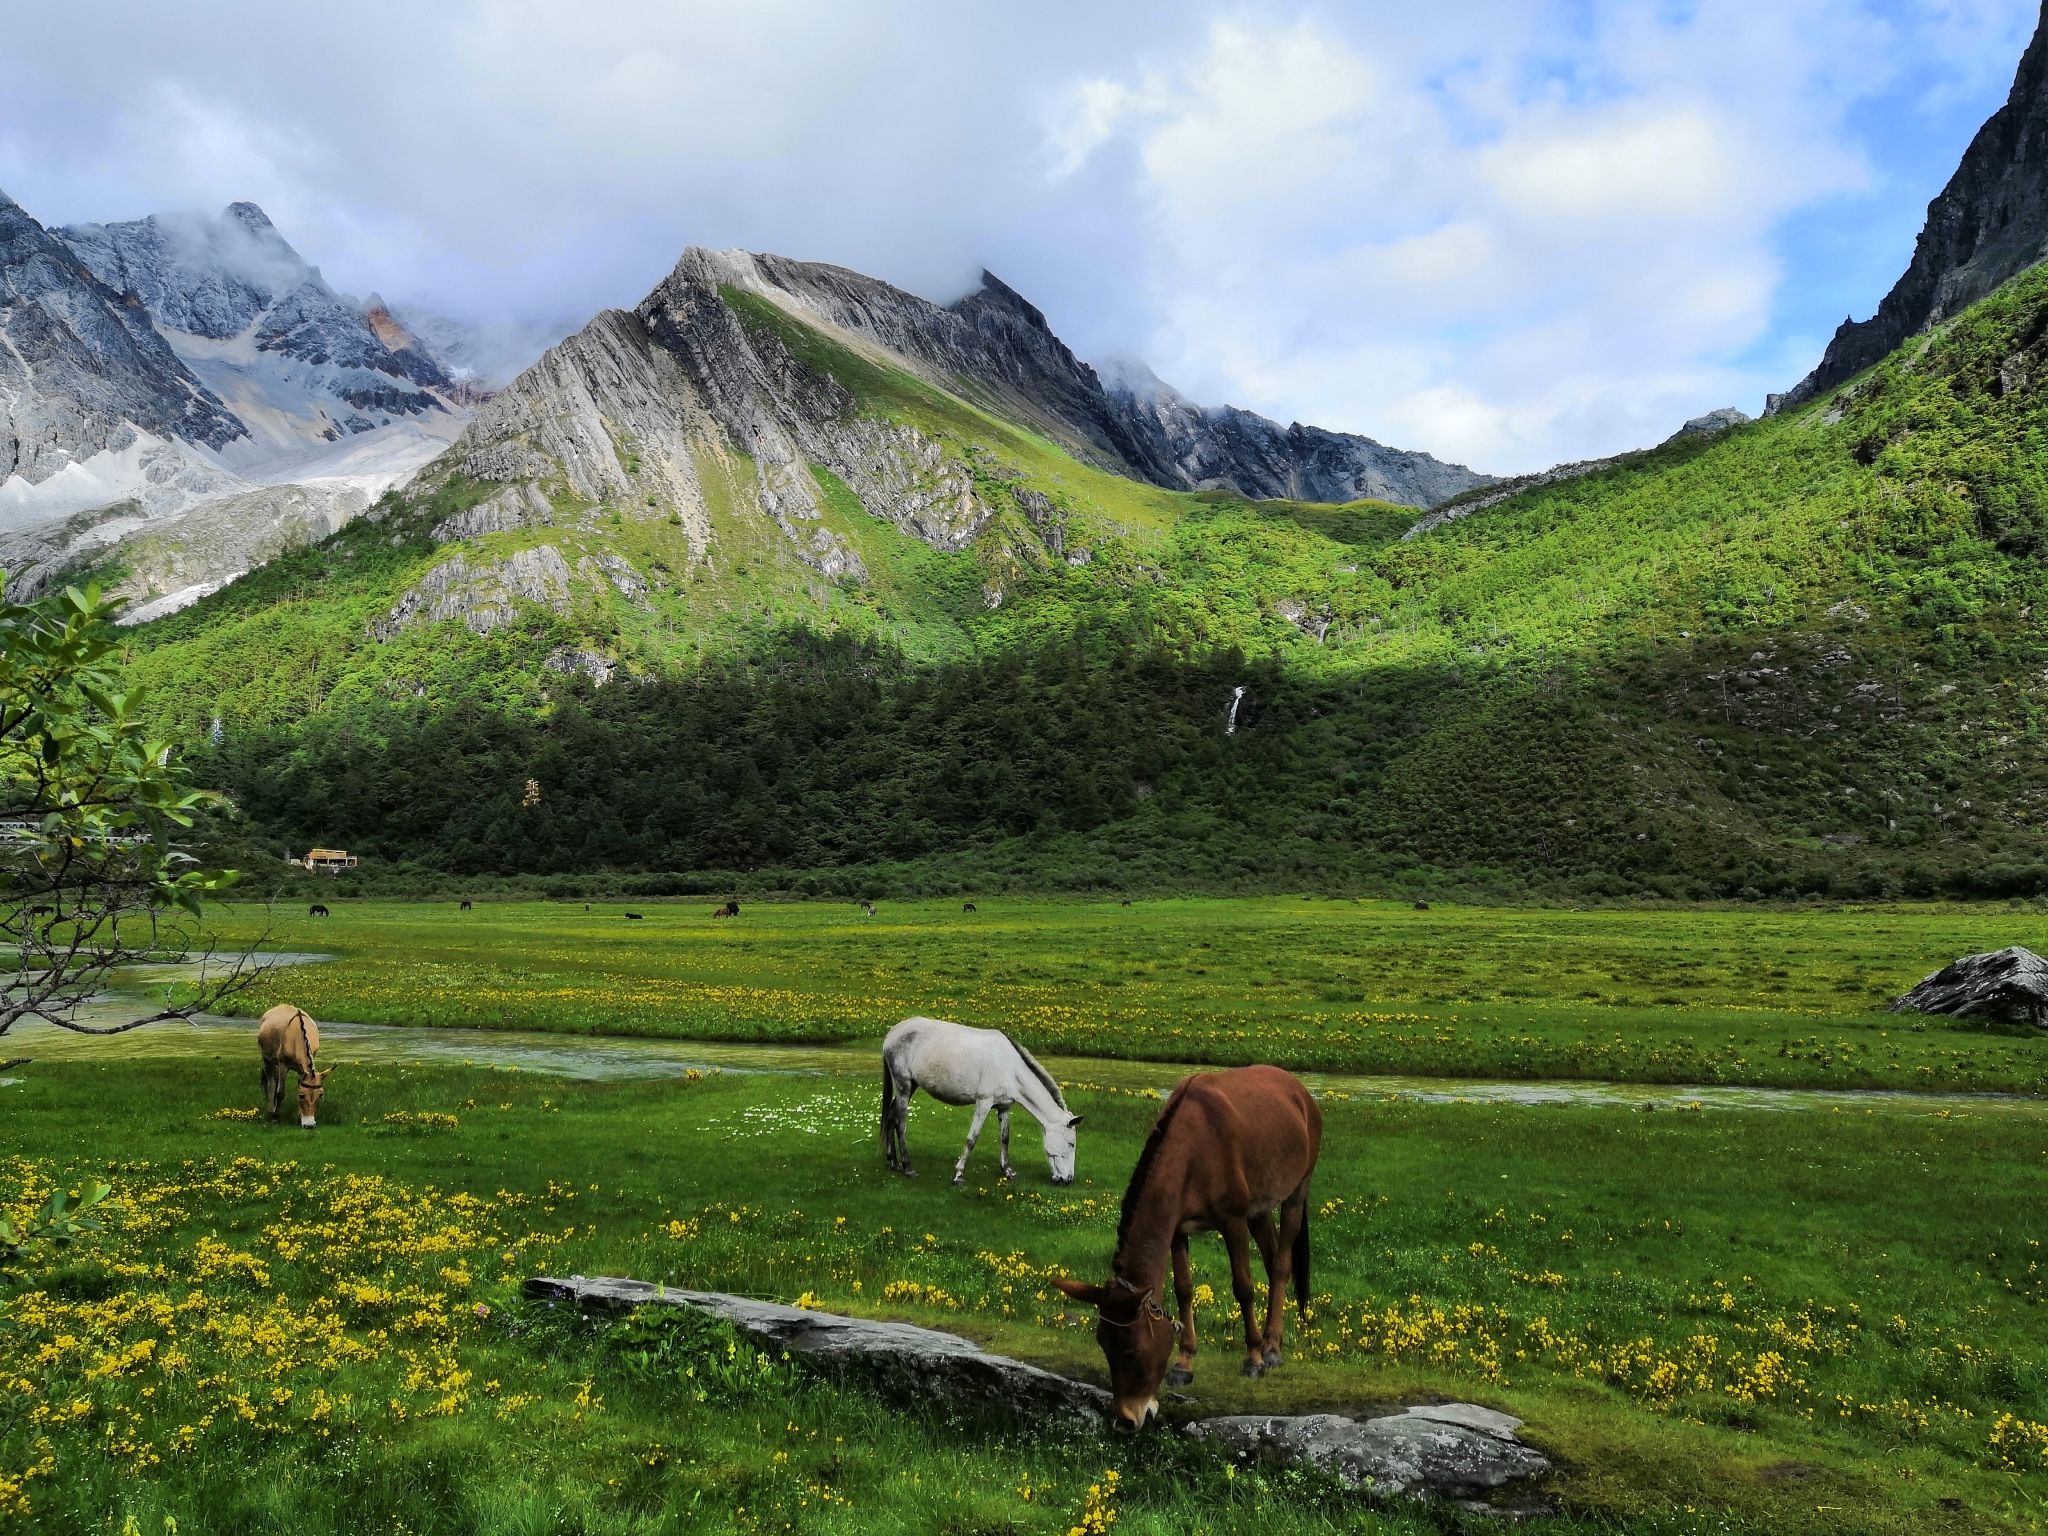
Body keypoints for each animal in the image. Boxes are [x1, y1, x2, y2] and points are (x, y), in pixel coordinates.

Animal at [876, 1024, 1081, 1187]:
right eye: (1071, 1144)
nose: (1068, 1179)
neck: (1008, 1066)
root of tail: (894, 1031)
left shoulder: (1004, 1107)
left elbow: (1005, 1138)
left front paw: (1007, 1171)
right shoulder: (983, 1103)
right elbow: (971, 1139)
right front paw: (958, 1175)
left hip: (911, 1085)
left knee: (891, 1115)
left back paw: (893, 1161)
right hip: (904, 1086)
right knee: (900, 1123)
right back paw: (908, 1167)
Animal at [1048, 1064, 1318, 1441]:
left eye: (1133, 1350)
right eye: (1103, 1344)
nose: (1125, 1420)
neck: (1193, 1150)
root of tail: (1300, 1092)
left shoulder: (1233, 1220)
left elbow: (1243, 1288)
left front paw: (1253, 1358)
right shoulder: (1177, 1227)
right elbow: (1184, 1289)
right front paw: (1184, 1362)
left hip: (1296, 1188)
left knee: (1281, 1263)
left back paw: (1272, 1348)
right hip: (1260, 1208)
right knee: (1272, 1254)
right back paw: (1268, 1340)